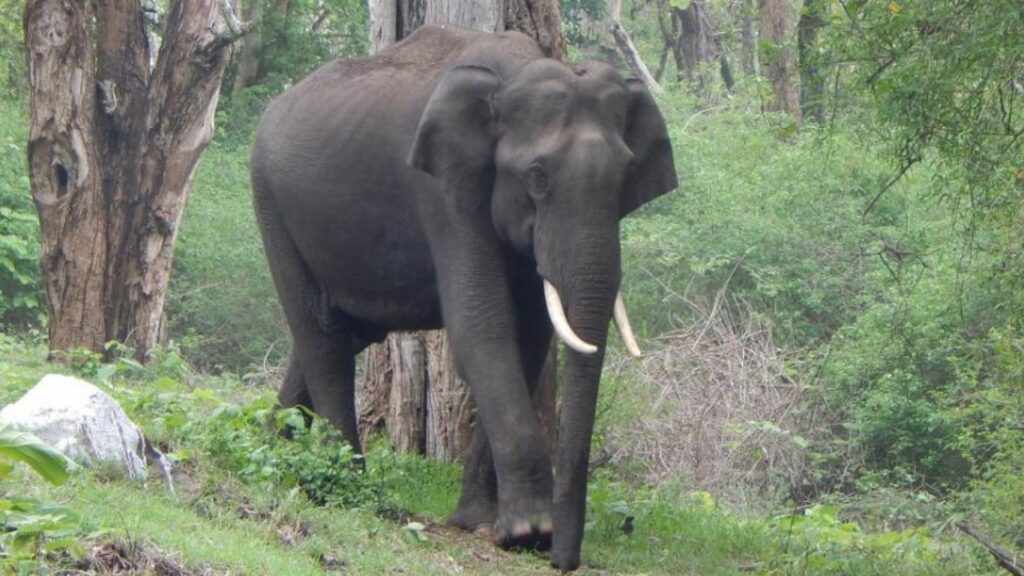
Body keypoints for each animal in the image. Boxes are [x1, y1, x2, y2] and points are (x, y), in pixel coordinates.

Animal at [250, 23, 675, 569]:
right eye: (537, 176)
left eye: (625, 176)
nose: (562, 560)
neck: (514, 73)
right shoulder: (446, 189)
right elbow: (483, 330)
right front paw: (528, 531)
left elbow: (528, 341)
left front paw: (480, 523)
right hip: (272, 204)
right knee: (321, 335)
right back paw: (345, 482)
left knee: (343, 335)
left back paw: (272, 448)